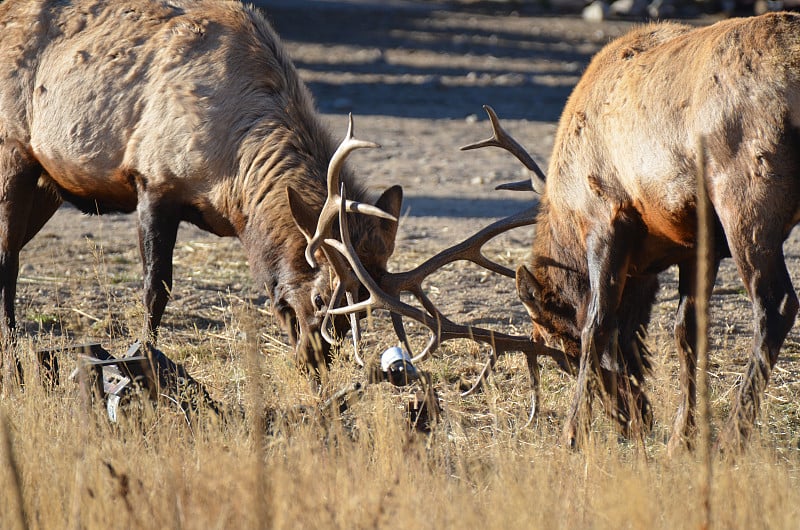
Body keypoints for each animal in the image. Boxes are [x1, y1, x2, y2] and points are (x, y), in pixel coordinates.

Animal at [0, 0, 404, 372]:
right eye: (321, 299)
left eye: (360, 313)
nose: (315, 359)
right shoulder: (154, 182)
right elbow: (156, 288)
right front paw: (145, 351)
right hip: (13, 153)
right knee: (8, 259)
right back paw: (12, 354)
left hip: (46, 182)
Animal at [488, 12, 800, 448]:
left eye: (560, 342)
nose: (632, 419)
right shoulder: (694, 243)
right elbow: (686, 330)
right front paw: (681, 438)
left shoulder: (606, 218)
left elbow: (598, 323)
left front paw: (572, 433)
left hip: (745, 201)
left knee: (777, 305)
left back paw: (731, 439)